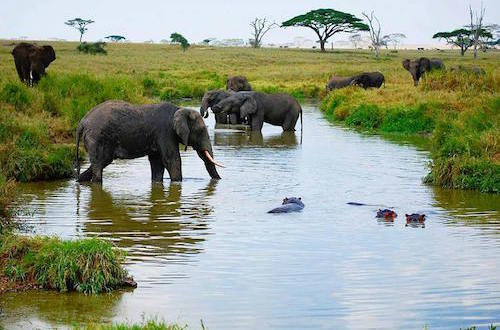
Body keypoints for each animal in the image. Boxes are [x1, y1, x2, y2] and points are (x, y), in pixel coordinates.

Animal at [74, 100, 223, 183]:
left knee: (100, 163)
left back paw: (79, 181)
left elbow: (157, 163)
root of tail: (82, 122)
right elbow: (172, 159)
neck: (179, 109)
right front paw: (178, 183)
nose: (219, 180)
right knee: (100, 164)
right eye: (201, 131)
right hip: (97, 138)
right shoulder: (165, 132)